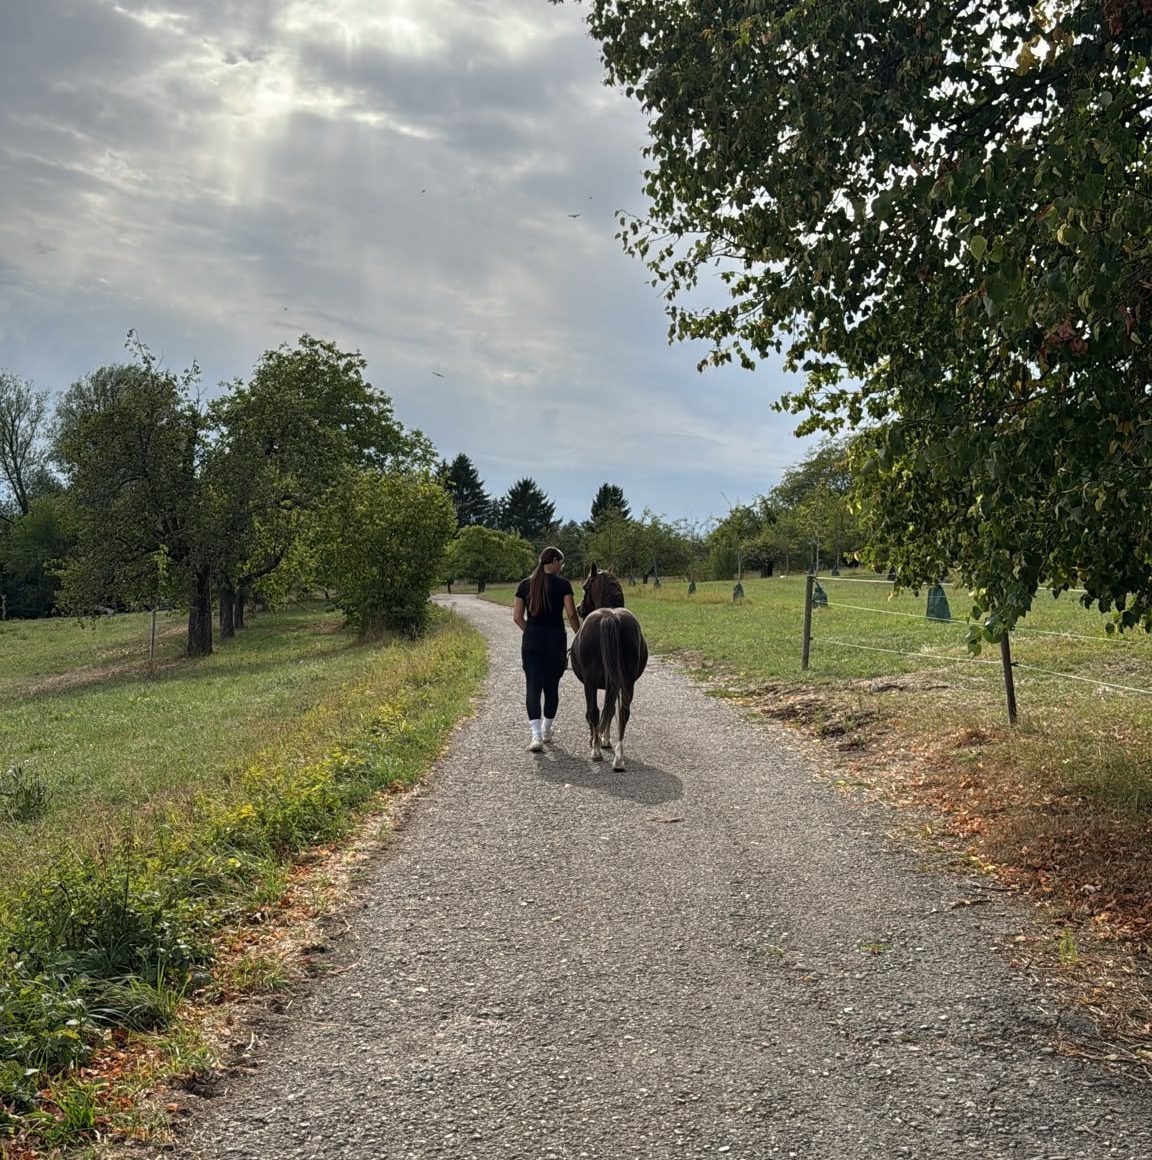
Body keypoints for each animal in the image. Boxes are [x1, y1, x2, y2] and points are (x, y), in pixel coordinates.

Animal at [569, 563, 648, 771]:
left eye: (585, 586)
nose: (579, 608)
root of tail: (609, 618)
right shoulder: (614, 684)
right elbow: (611, 709)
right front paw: (606, 739)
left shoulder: (592, 685)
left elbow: (597, 712)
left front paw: (596, 740)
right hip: (627, 682)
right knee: (623, 712)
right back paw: (618, 758)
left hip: (590, 683)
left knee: (594, 712)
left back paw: (596, 751)